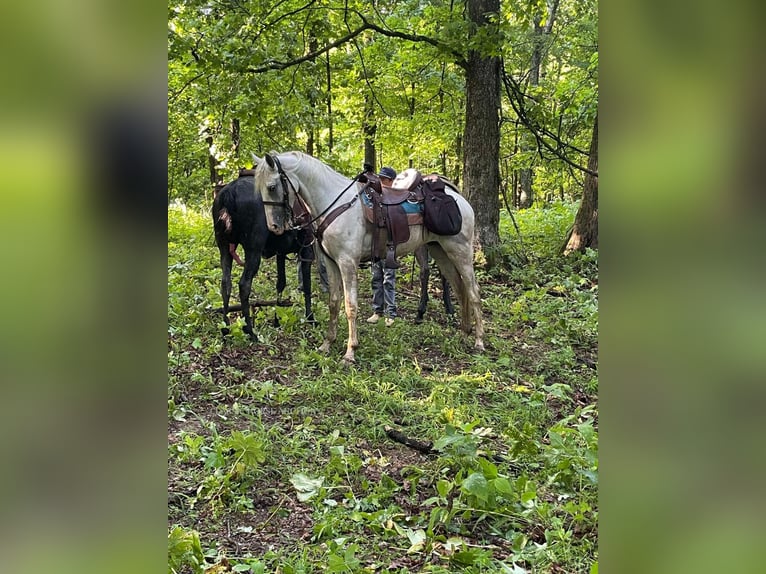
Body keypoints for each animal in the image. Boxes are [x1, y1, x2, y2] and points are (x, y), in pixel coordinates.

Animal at [212, 170, 316, 338]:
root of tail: (230, 192)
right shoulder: (307, 251)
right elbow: (307, 286)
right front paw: (310, 318)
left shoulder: (281, 253)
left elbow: (281, 284)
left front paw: (277, 319)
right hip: (253, 251)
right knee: (244, 285)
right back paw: (250, 331)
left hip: (224, 248)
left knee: (225, 284)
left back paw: (225, 328)